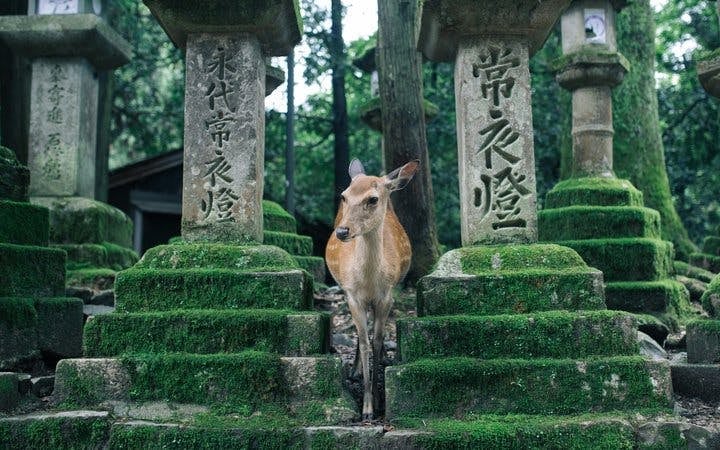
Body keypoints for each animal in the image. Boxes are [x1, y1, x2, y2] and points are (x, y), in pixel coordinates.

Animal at [325, 158, 419, 420]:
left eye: (373, 199)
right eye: (344, 196)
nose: (342, 231)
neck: (368, 281)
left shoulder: (386, 296)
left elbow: (376, 341)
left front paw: (378, 402)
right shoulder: (352, 295)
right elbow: (366, 341)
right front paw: (366, 408)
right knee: (360, 334)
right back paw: (355, 370)